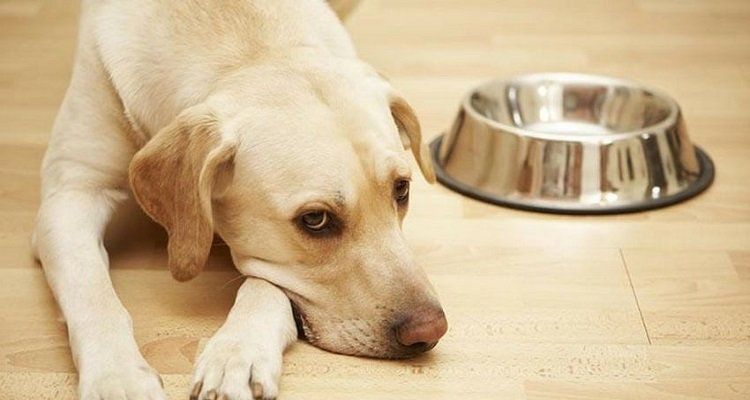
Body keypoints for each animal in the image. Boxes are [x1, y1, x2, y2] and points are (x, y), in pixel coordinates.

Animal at [32, 0, 446, 400]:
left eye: (401, 190)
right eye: (315, 219)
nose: (431, 330)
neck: (250, 47)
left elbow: (265, 287)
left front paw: (237, 354)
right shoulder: (70, 194)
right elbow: (92, 292)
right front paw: (117, 377)